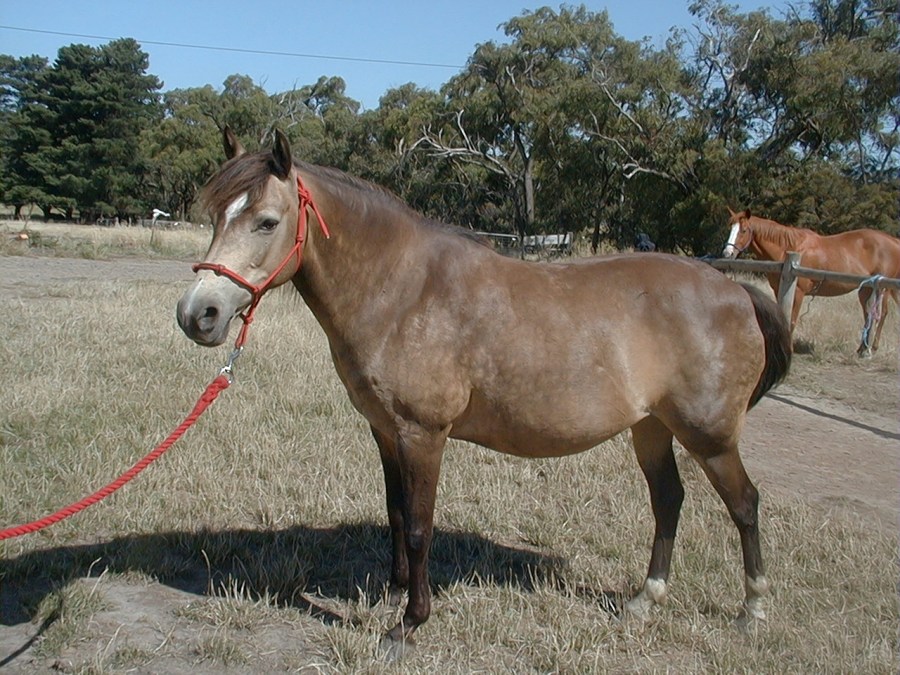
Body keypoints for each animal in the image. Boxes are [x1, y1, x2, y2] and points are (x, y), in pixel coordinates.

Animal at [176, 129, 791, 657]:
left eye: (266, 221)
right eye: (217, 215)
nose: (197, 314)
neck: (403, 290)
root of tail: (736, 290)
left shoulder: (423, 435)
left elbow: (419, 526)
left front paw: (409, 624)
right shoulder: (385, 431)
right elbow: (395, 512)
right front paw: (391, 594)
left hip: (709, 437)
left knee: (744, 504)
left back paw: (753, 610)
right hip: (652, 429)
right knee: (669, 501)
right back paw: (645, 600)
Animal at [723, 208, 900, 356]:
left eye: (743, 230)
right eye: (730, 228)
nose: (727, 253)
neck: (789, 249)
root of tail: (893, 240)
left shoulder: (798, 292)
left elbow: (792, 320)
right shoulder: (779, 289)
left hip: (881, 288)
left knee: (879, 315)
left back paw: (871, 349)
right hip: (866, 290)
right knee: (868, 315)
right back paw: (861, 348)